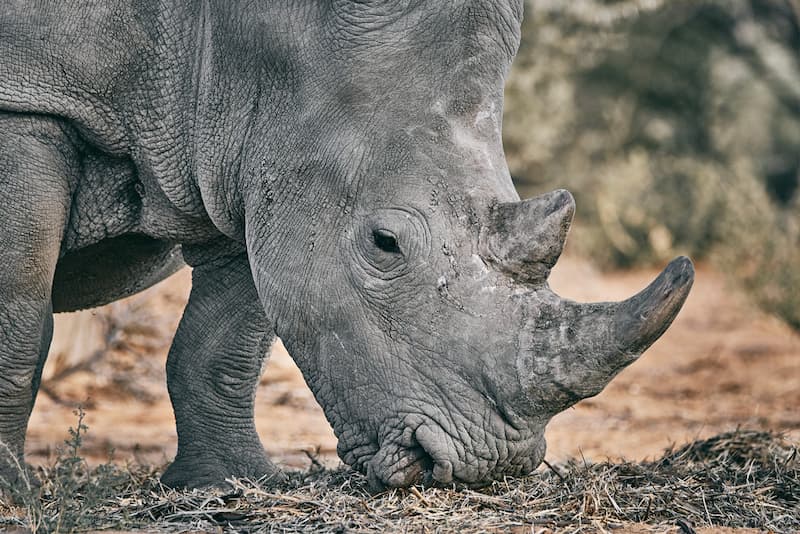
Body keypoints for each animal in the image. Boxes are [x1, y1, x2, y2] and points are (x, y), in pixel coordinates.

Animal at [0, 0, 693, 491]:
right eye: (385, 244)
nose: (488, 463)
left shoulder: (244, 147)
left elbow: (224, 341)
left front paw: (232, 482)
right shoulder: (27, 101)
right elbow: (19, 320)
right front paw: (13, 495)